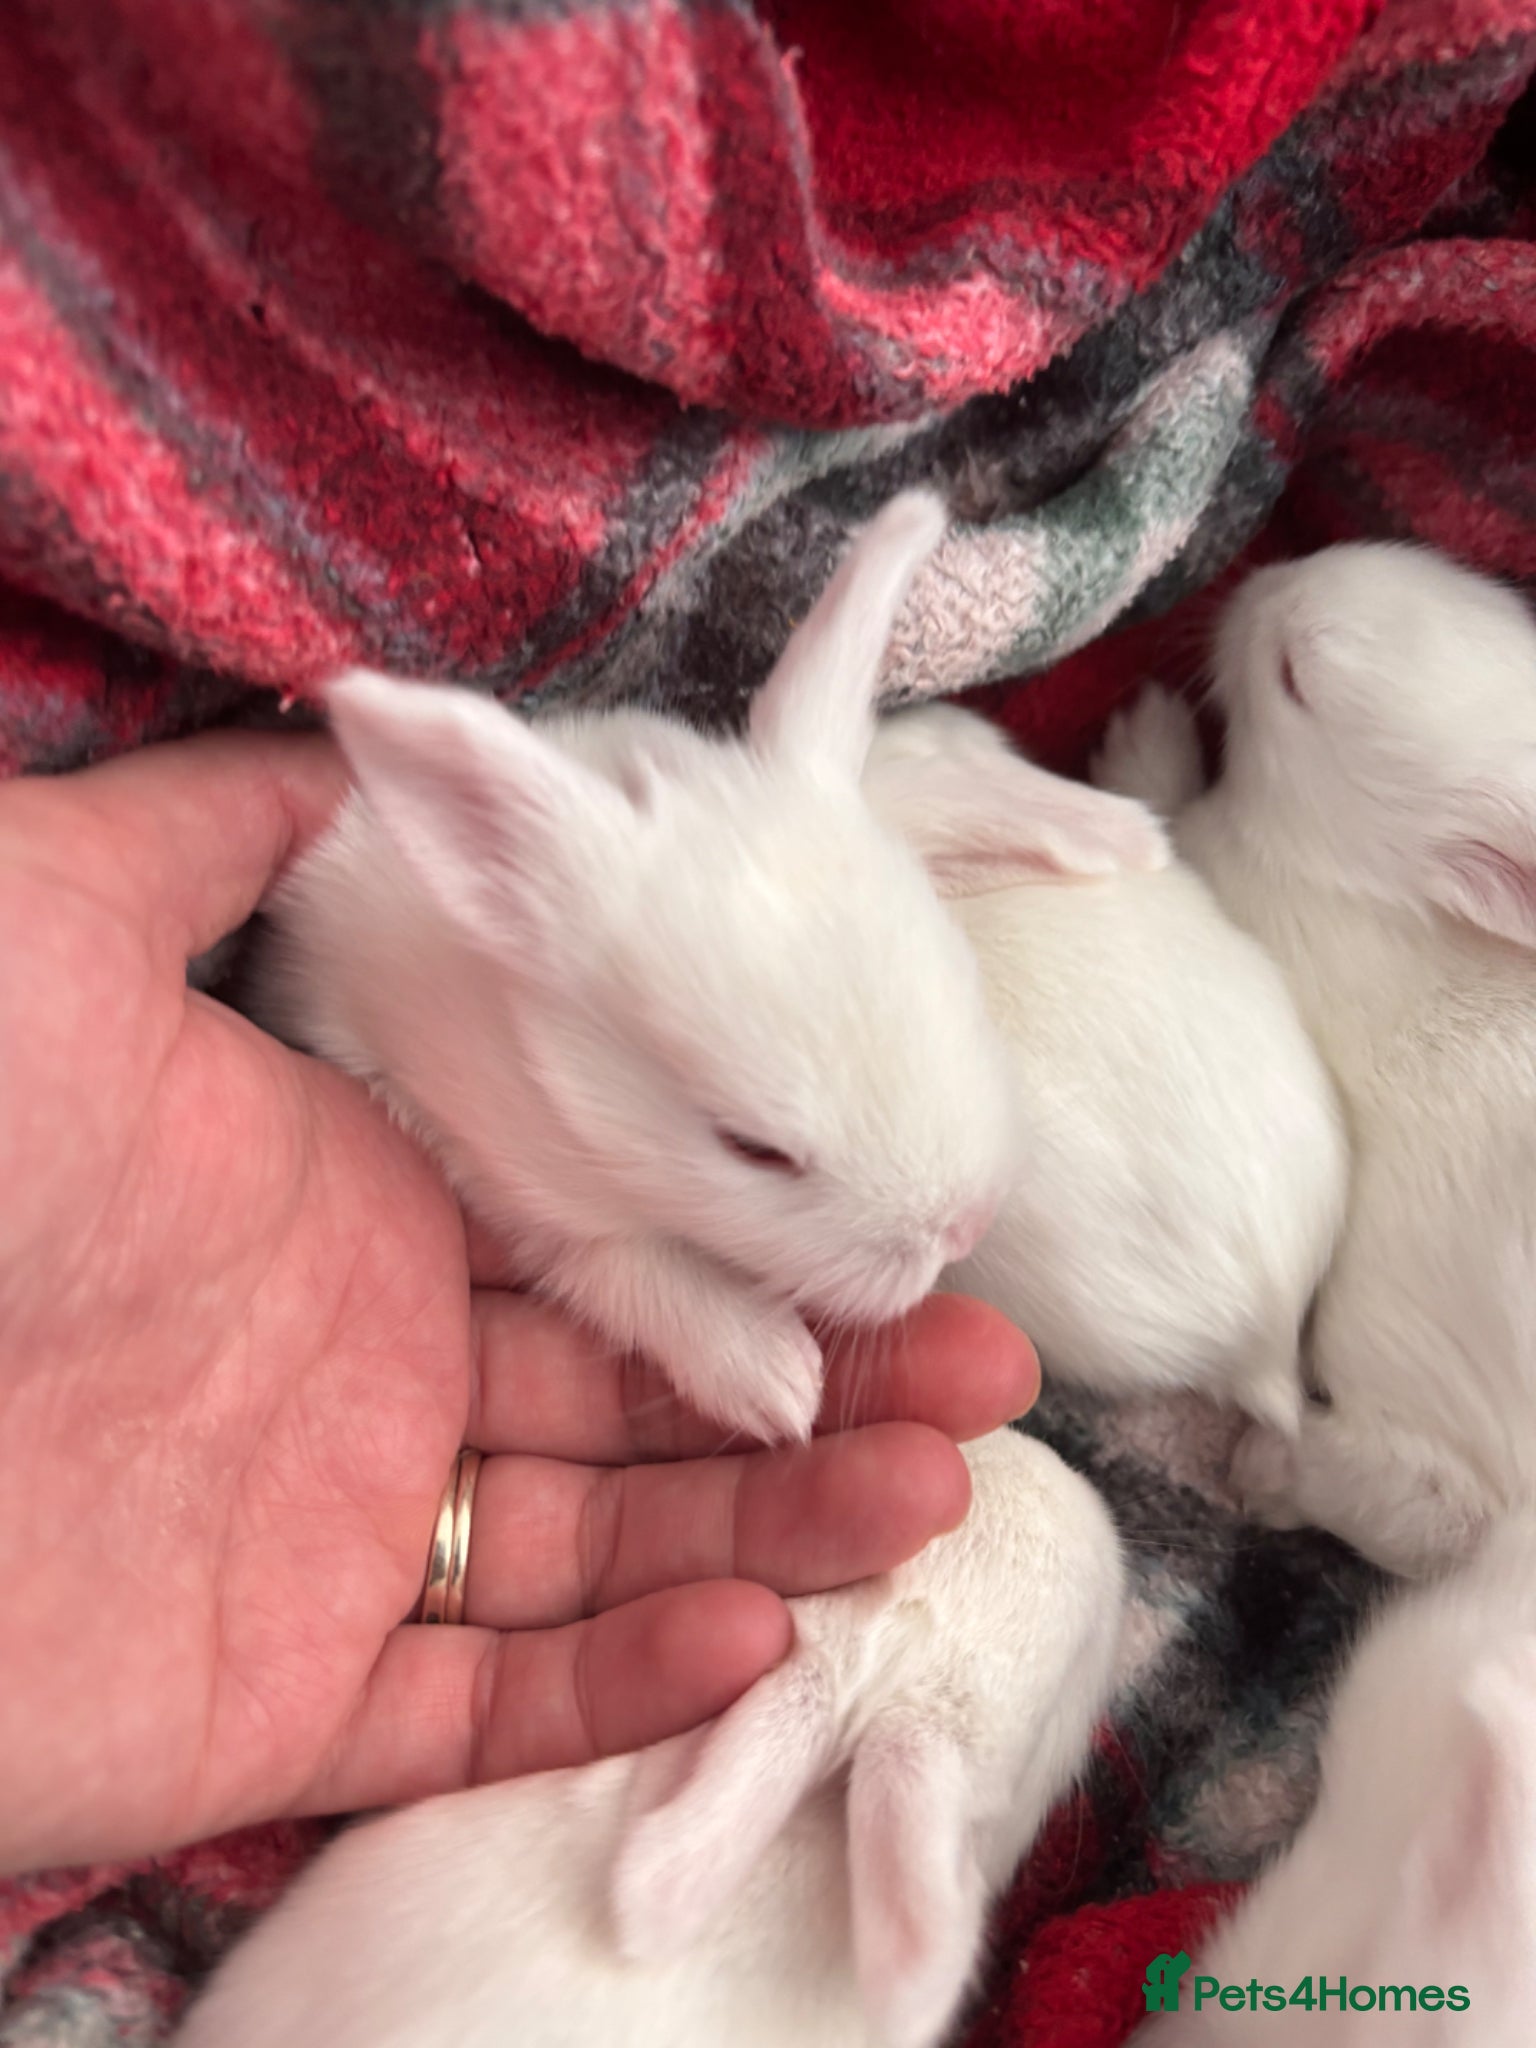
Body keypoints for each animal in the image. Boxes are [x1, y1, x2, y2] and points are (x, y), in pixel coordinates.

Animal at [251, 490, 1018, 1445]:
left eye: (964, 982)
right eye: (753, 1150)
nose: (965, 1227)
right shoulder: (501, 1165)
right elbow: (620, 1258)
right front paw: (771, 1378)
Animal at [1097, 543, 1536, 1576]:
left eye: (1295, 679)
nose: (1263, 583)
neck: (1371, 876)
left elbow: (1168, 825)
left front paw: (1145, 734)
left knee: (1432, 1507)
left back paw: (1266, 1471)